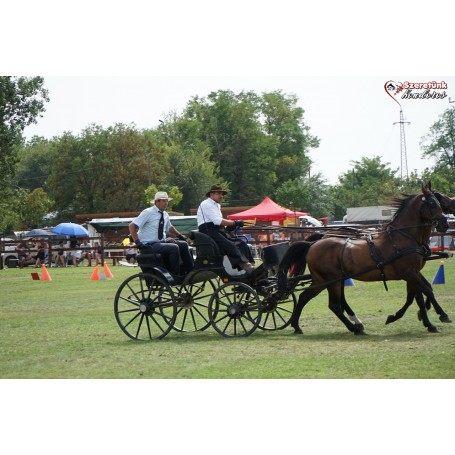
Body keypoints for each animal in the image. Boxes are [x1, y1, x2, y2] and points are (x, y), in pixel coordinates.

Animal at [278, 183, 448, 336]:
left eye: (439, 202)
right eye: (432, 203)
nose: (445, 224)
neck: (402, 237)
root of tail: (312, 245)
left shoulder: (413, 273)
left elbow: (418, 295)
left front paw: (421, 321)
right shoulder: (409, 272)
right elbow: (425, 291)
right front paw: (442, 316)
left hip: (326, 280)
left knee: (307, 297)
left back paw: (298, 326)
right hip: (329, 280)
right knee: (333, 305)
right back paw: (354, 328)